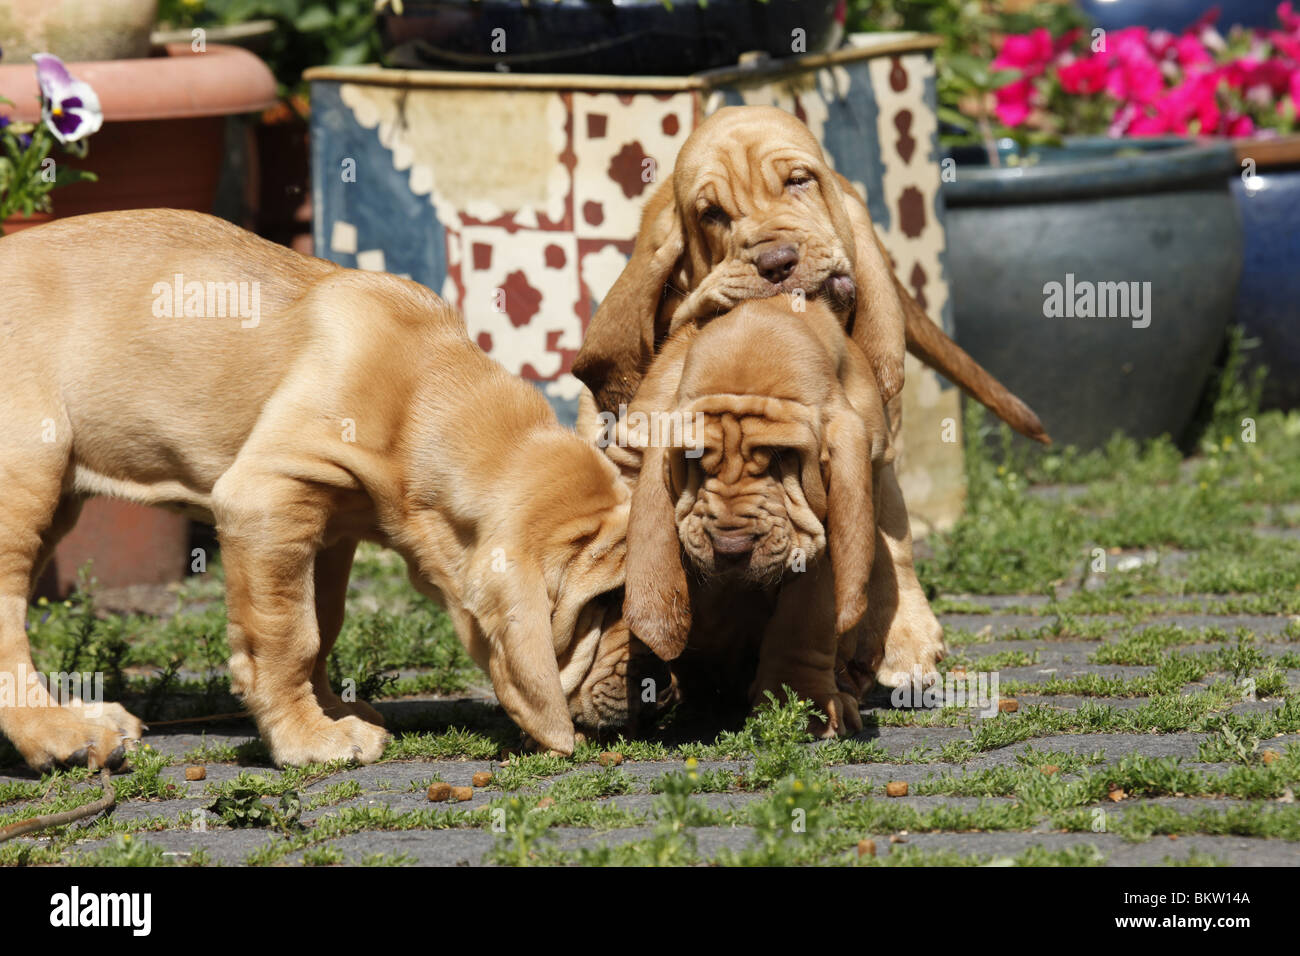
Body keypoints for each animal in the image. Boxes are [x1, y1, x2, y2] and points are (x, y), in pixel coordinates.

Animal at [0, 209, 650, 770]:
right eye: (606, 602)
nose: (659, 684)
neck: (422, 395)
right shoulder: (266, 498)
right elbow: (288, 633)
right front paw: (308, 738)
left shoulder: (330, 528)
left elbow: (322, 622)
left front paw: (329, 710)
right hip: (27, 480)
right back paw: (59, 733)